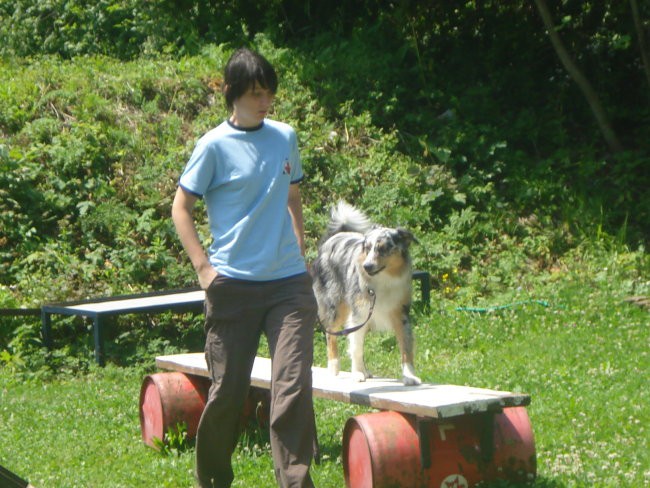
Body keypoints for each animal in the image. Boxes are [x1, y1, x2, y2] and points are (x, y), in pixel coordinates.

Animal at [310, 202, 420, 386]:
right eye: (367, 249)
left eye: (383, 249)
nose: (367, 266)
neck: (383, 279)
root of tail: (334, 237)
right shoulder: (359, 313)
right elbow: (356, 347)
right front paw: (357, 373)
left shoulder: (401, 314)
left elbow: (406, 348)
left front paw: (409, 376)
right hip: (336, 305)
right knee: (330, 332)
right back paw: (334, 367)